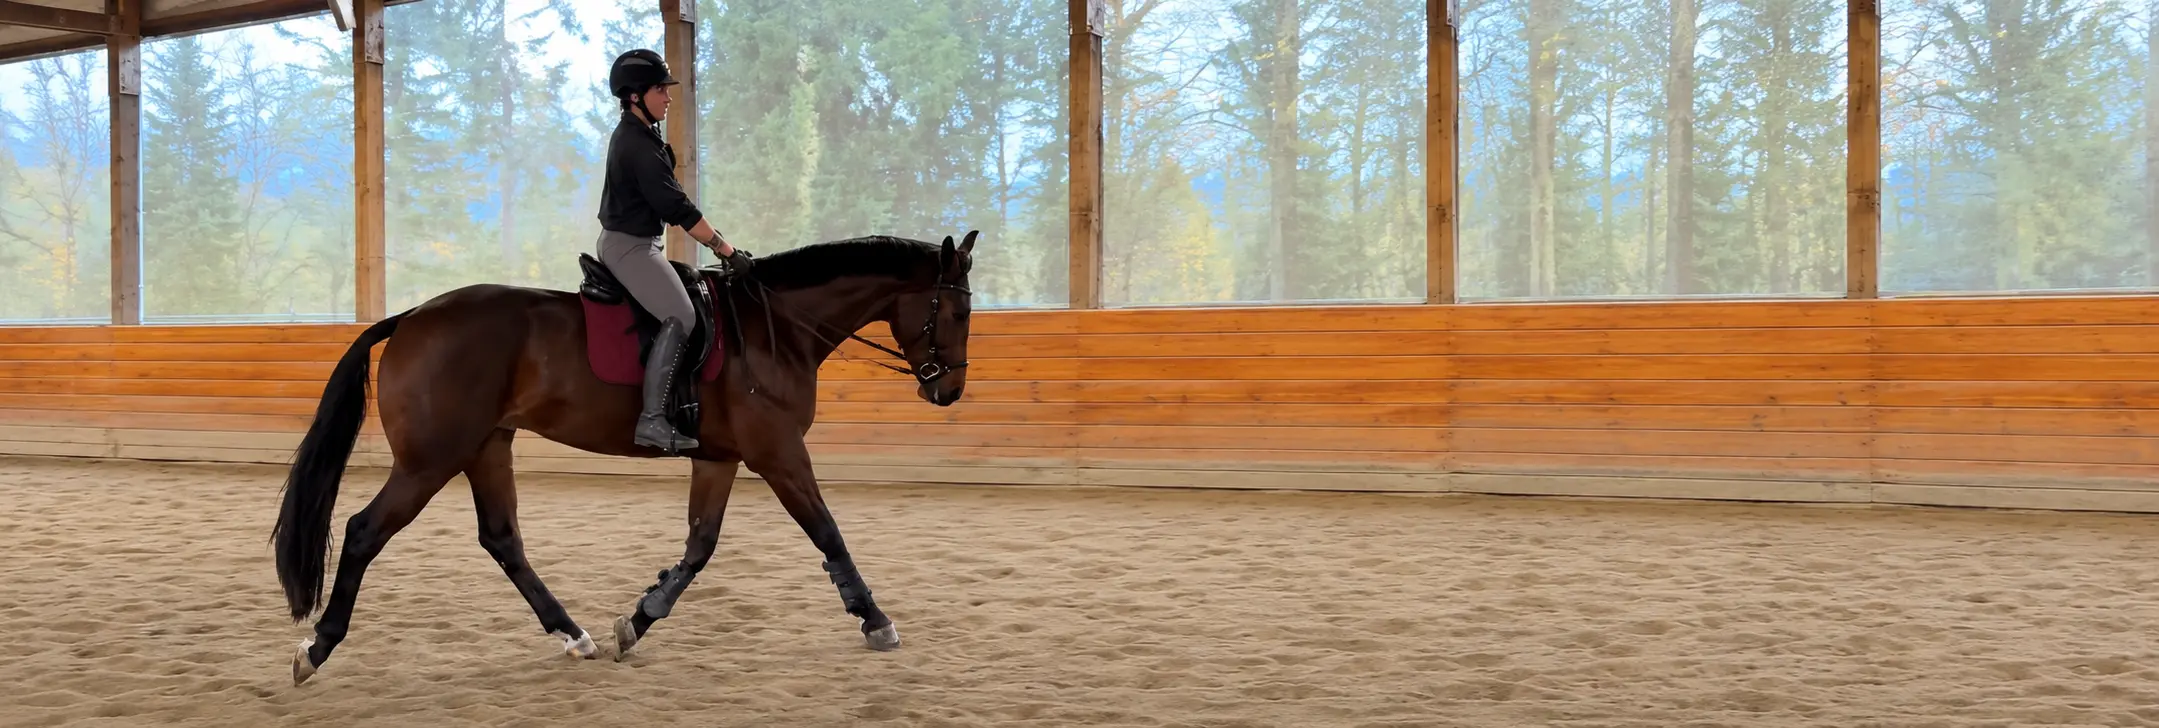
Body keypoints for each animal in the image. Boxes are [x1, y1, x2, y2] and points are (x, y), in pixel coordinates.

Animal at [270, 232, 977, 685]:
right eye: (955, 310)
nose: (948, 391)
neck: (775, 328)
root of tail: (413, 315)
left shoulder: (720, 458)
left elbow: (700, 546)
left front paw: (638, 620)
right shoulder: (778, 452)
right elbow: (827, 532)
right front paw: (876, 621)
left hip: (485, 446)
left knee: (502, 539)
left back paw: (573, 634)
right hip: (430, 460)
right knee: (364, 532)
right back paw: (316, 648)